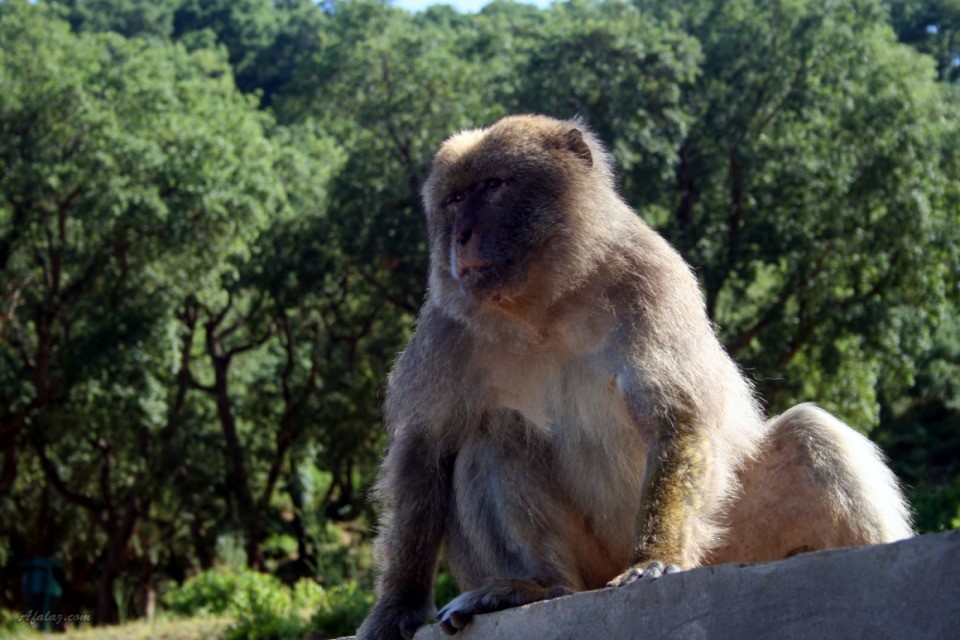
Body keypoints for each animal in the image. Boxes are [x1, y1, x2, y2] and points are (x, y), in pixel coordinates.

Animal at [354, 115, 916, 640]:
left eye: (493, 185)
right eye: (454, 198)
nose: (462, 234)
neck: (546, 306)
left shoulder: (648, 278)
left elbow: (675, 417)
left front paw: (654, 558)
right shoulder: (445, 328)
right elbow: (425, 451)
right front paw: (398, 605)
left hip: (732, 537)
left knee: (808, 433)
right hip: (593, 564)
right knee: (492, 436)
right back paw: (534, 586)